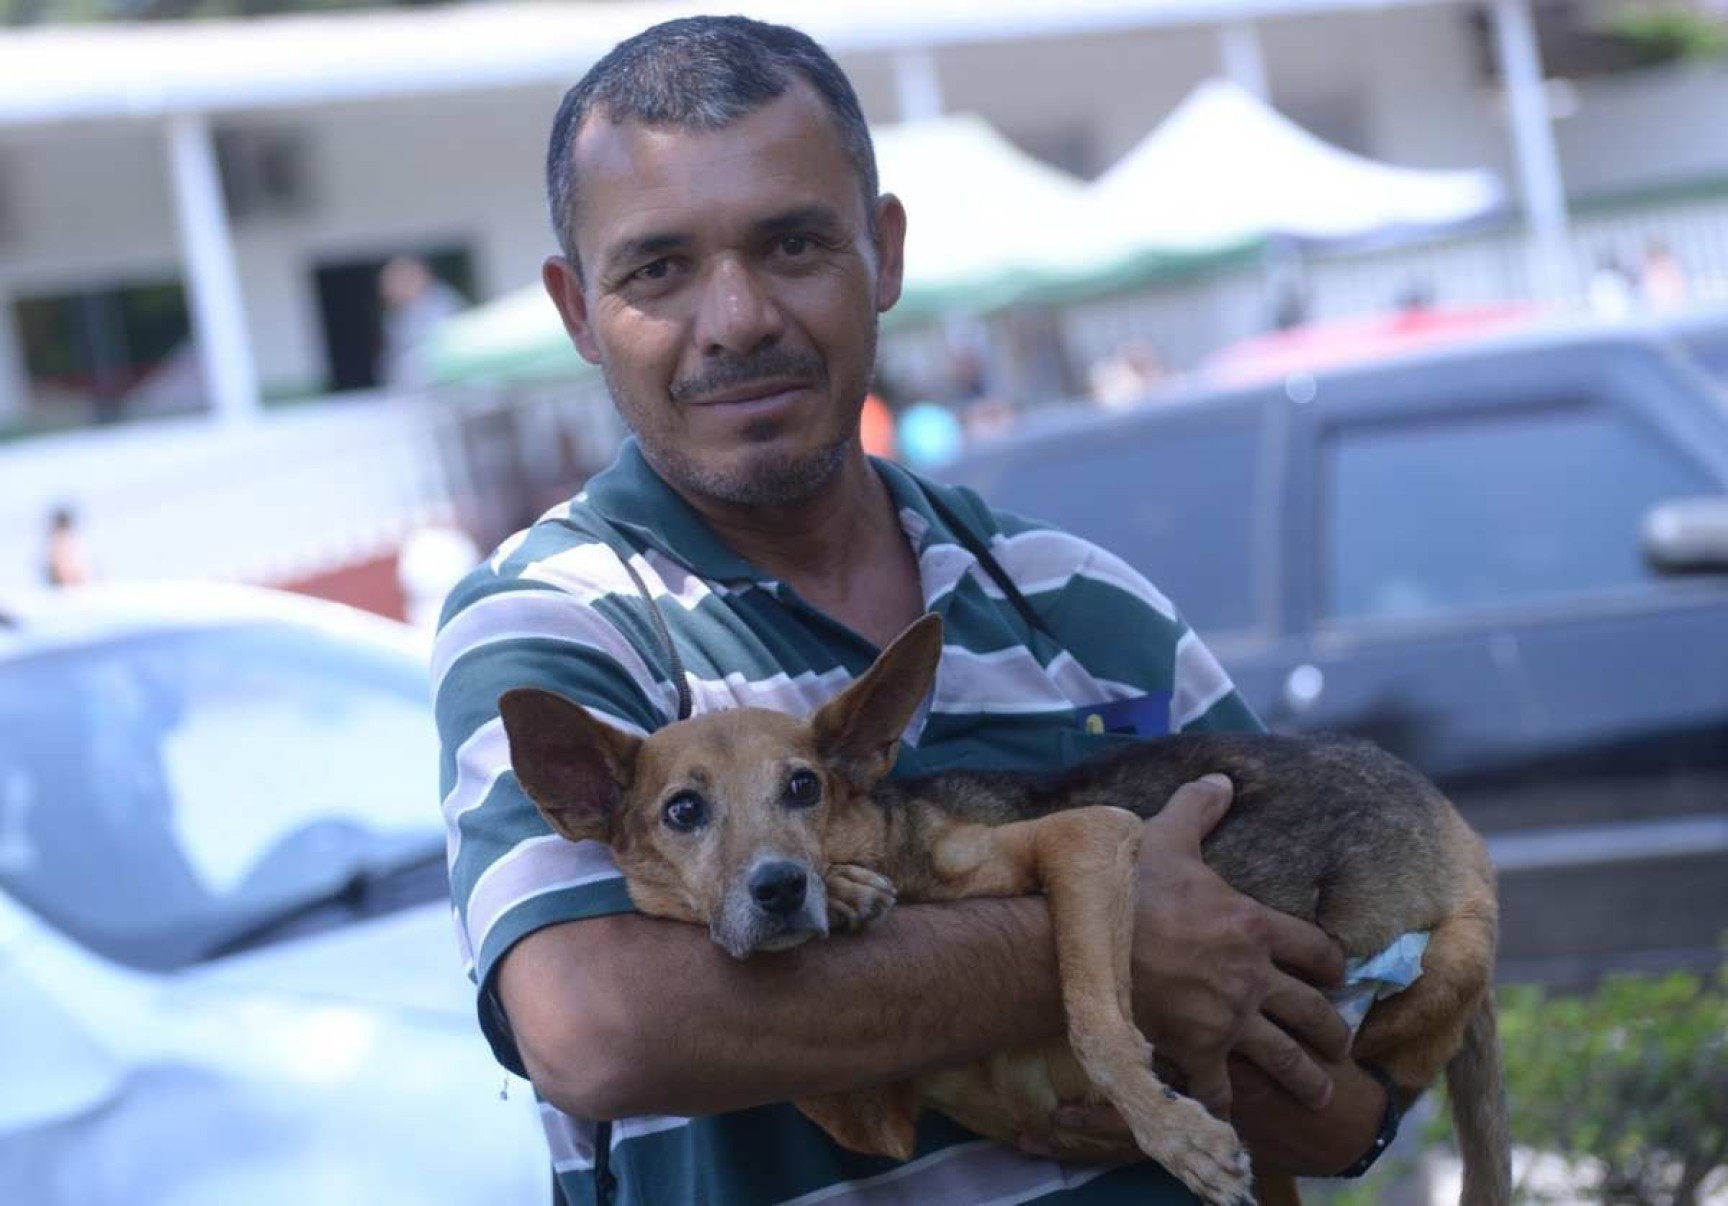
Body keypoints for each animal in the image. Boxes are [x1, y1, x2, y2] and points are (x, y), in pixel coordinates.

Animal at [494, 615, 1506, 1195]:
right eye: (683, 811)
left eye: (803, 787)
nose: (782, 887)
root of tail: (1462, 831)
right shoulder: (881, 1119)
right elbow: (820, 1093)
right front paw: (851, 897)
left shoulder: (1089, 838)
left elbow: (1096, 1020)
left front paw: (1174, 1132)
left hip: (1444, 967)